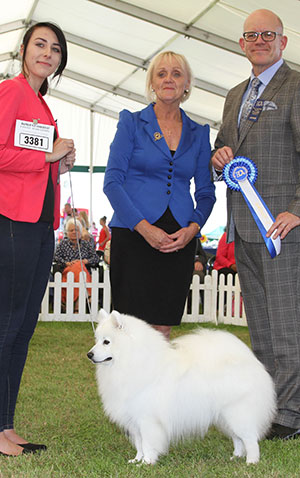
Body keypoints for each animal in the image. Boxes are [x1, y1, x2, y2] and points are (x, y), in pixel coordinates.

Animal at [87, 308, 276, 464]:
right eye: (96, 340)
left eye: (106, 342)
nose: (89, 354)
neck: (132, 359)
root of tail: (251, 361)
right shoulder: (134, 420)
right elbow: (139, 443)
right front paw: (137, 460)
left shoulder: (147, 419)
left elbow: (147, 443)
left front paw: (147, 462)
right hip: (224, 417)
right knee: (238, 439)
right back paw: (236, 456)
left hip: (237, 412)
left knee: (250, 438)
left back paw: (251, 461)